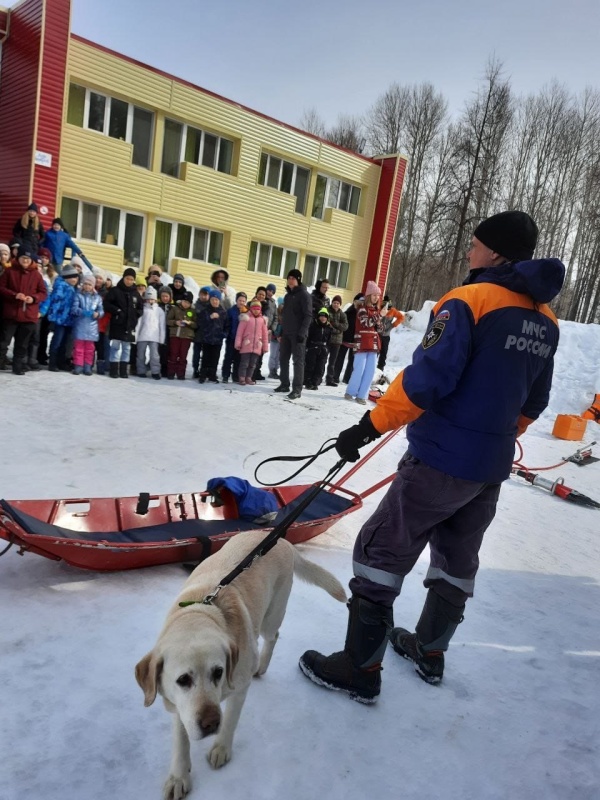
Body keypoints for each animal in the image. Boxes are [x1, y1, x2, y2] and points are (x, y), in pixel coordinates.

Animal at [134, 532, 344, 800]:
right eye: (183, 680)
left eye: (218, 672)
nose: (211, 723)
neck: (200, 613)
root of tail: (281, 540)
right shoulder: (178, 704)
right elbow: (181, 739)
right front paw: (179, 776)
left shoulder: (239, 688)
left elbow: (231, 720)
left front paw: (221, 748)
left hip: (272, 615)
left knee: (273, 636)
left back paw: (261, 665)